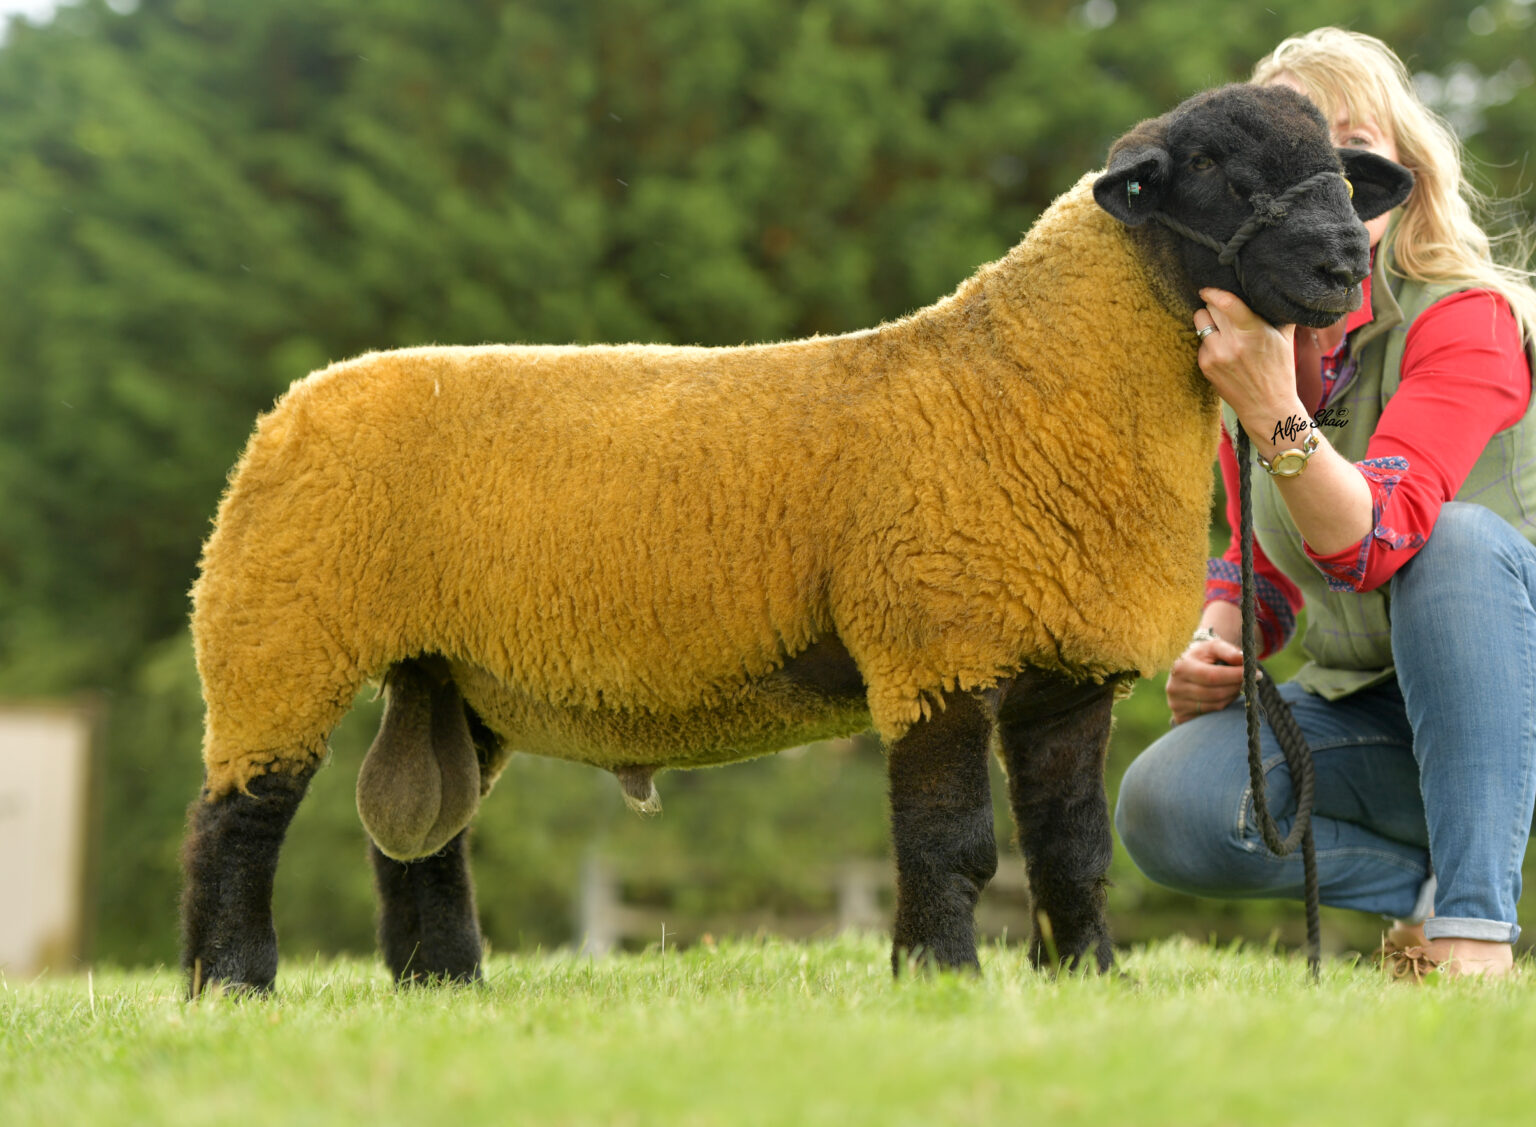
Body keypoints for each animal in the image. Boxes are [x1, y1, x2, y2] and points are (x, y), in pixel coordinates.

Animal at [180, 83, 1412, 994]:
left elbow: (1071, 846)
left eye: (1343, 170)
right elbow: (954, 840)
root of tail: (295, 403)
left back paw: (443, 982)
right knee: (235, 819)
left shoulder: (1068, 672)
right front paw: (941, 978)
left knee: (424, 841)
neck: (1029, 381)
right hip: (275, 635)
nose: (1343, 262)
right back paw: (231, 981)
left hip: (442, 671)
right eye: (1214, 168)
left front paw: (1090, 978)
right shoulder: (934, 643)